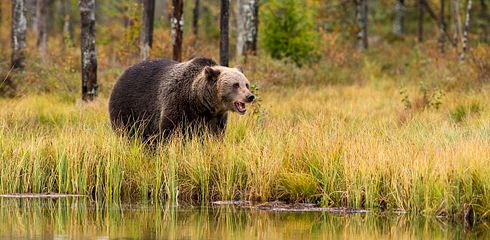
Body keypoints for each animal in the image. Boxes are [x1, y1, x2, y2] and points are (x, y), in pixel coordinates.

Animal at [109, 57, 255, 142]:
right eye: (236, 85)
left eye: (246, 84)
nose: (250, 96)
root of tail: (123, 73)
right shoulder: (178, 105)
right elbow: (169, 131)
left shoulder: (216, 118)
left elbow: (215, 135)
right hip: (128, 107)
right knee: (126, 131)